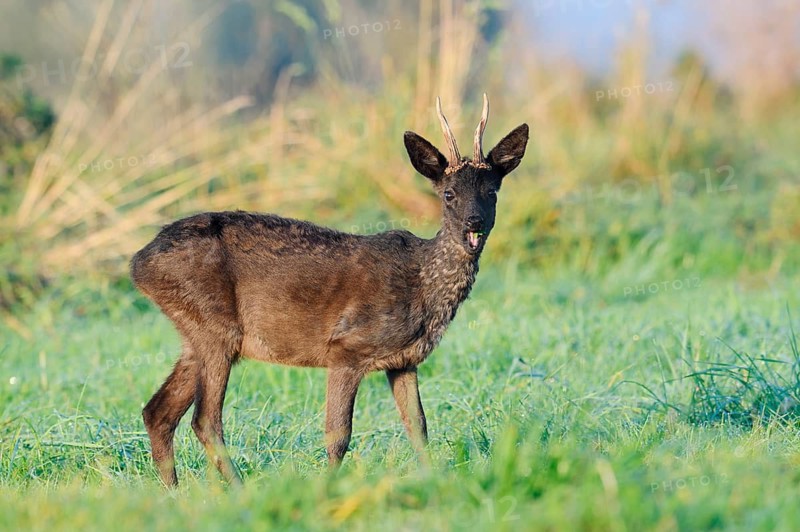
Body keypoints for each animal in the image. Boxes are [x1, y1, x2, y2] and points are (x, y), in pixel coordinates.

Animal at [130, 94, 528, 487]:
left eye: (492, 191)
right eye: (448, 194)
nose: (474, 223)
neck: (423, 286)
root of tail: (138, 262)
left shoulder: (404, 361)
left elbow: (418, 427)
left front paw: (433, 482)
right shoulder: (346, 347)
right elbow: (338, 434)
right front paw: (327, 488)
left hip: (197, 334)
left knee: (157, 411)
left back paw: (174, 491)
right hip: (213, 325)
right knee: (204, 420)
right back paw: (239, 489)